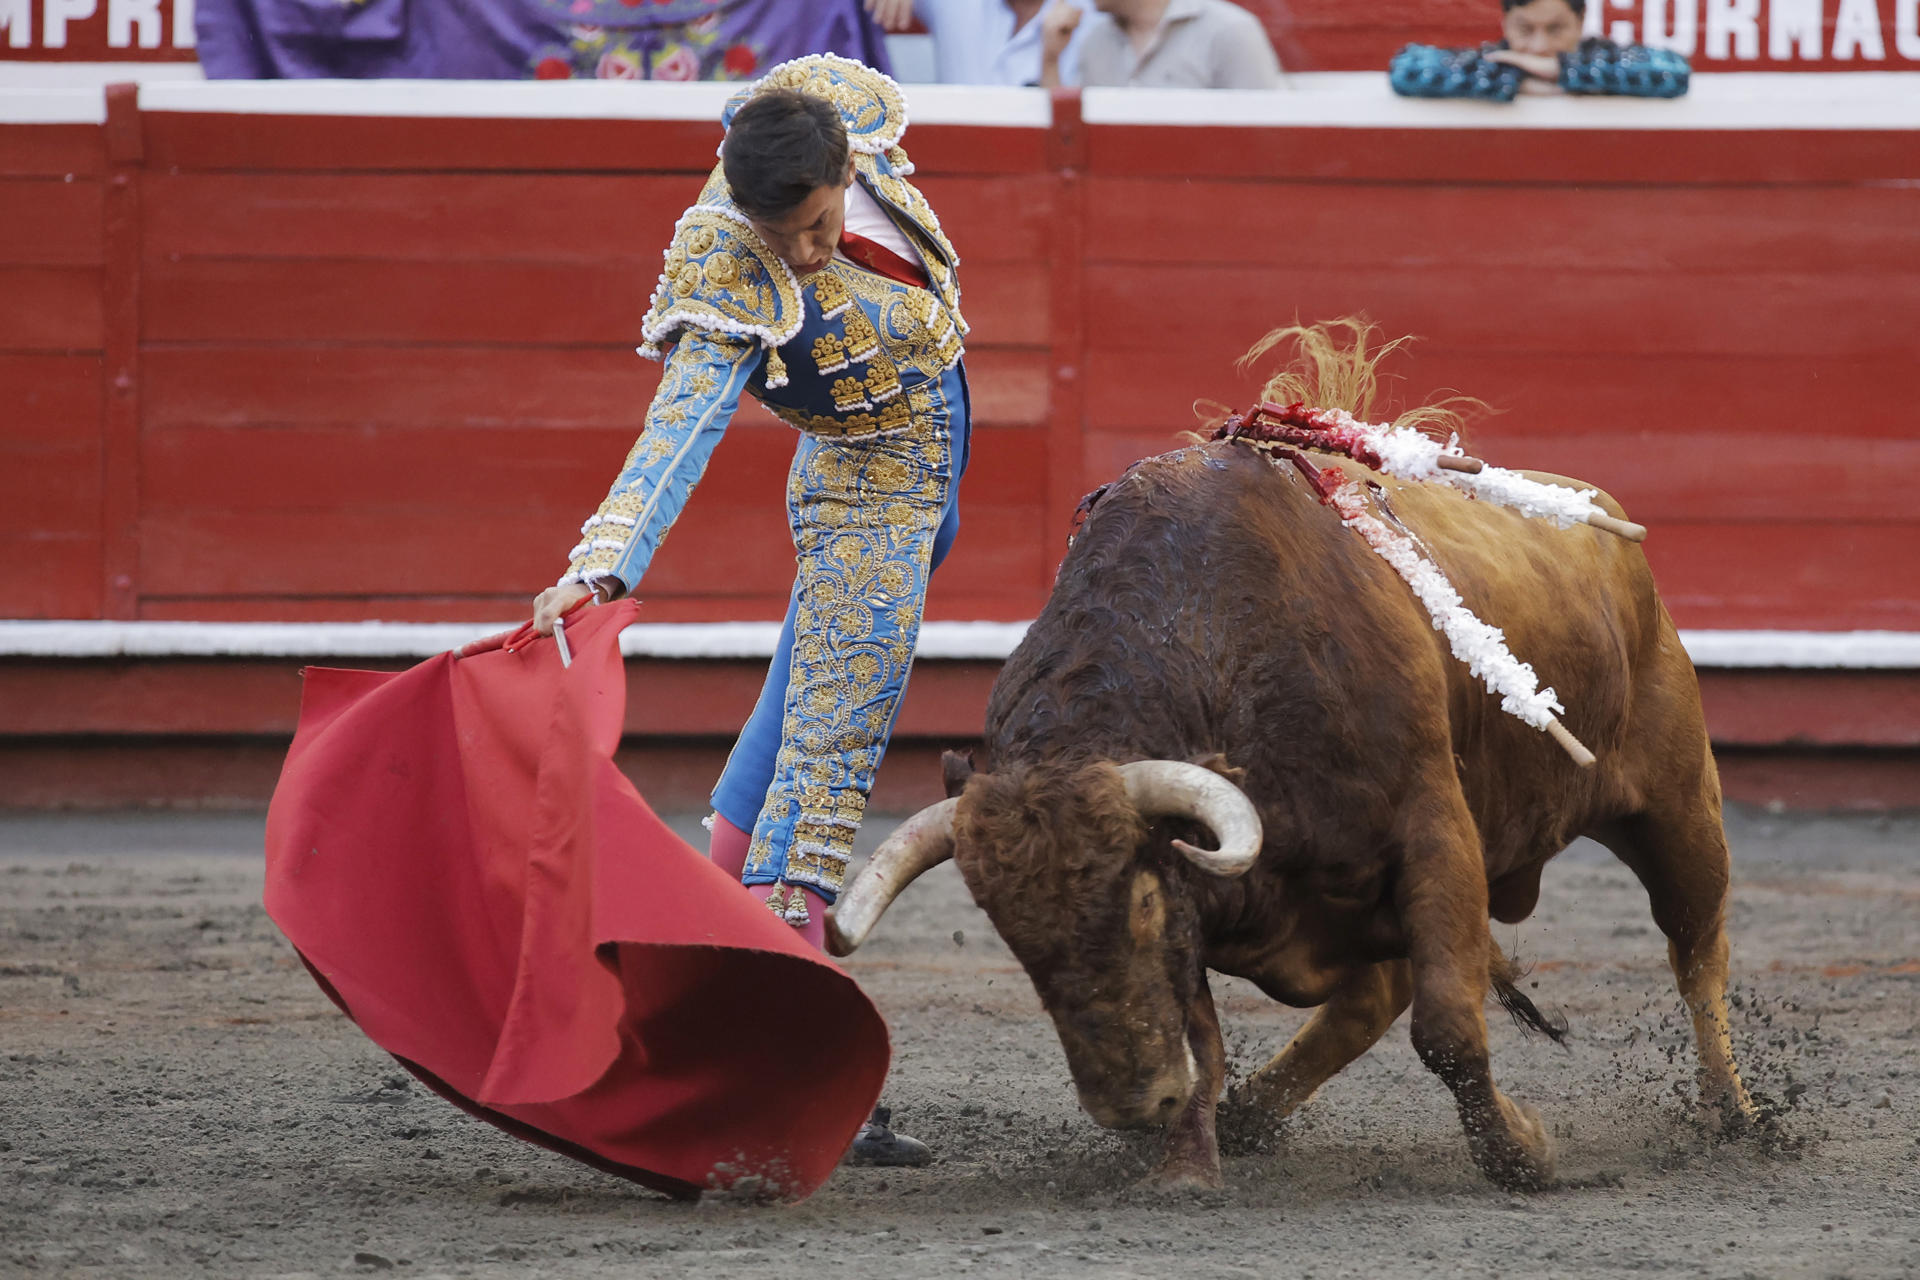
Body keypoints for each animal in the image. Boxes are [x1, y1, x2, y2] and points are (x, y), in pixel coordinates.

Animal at [821, 328, 1758, 1189]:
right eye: (1014, 938)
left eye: (1140, 907)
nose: (1130, 1106)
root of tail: (1599, 512)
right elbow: (1207, 1035)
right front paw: (1190, 1157)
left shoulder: (1435, 831)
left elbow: (1448, 1028)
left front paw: (1522, 1156)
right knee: (1371, 998)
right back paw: (1251, 1118)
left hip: (1677, 805)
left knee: (1697, 946)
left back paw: (1737, 1117)